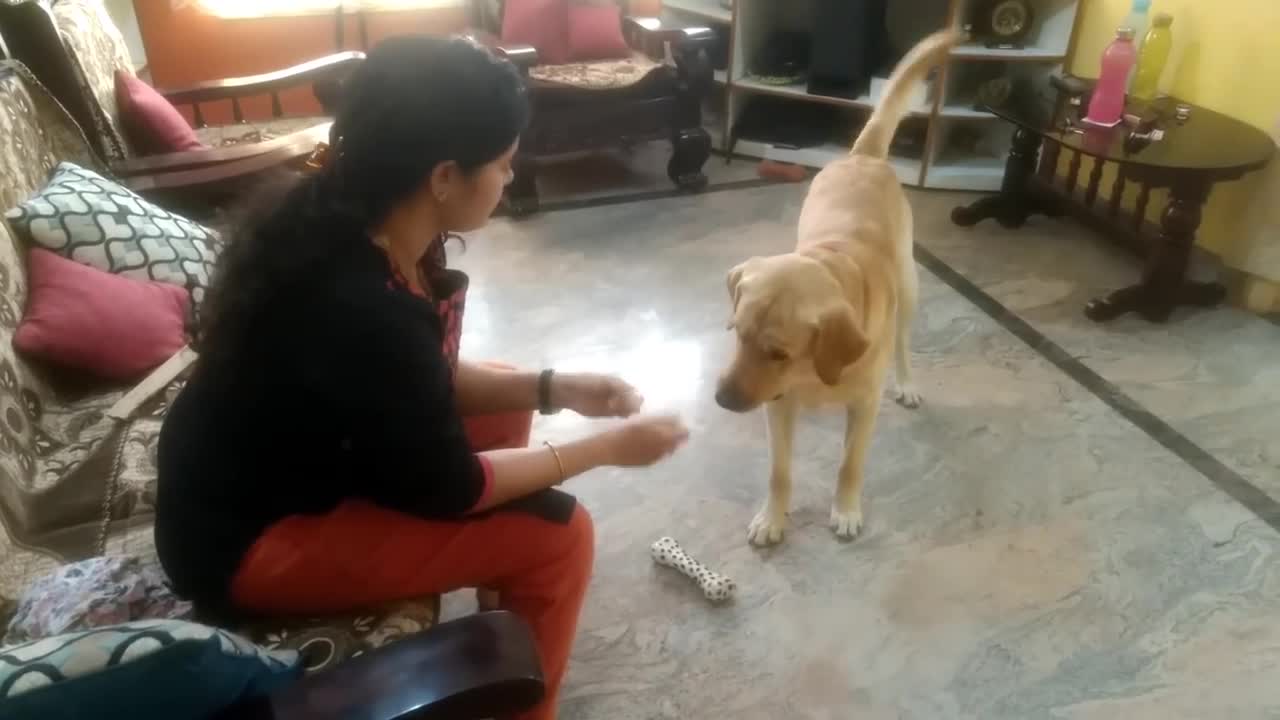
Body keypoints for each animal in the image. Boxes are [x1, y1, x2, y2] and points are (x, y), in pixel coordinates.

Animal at [716, 29, 957, 543]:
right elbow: (779, 472)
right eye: (738, 336)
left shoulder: (863, 408)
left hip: (910, 289)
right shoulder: (778, 408)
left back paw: (907, 383)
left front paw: (845, 510)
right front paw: (773, 518)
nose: (721, 399)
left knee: (904, 344)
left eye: (779, 352)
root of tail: (862, 156)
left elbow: (850, 464)